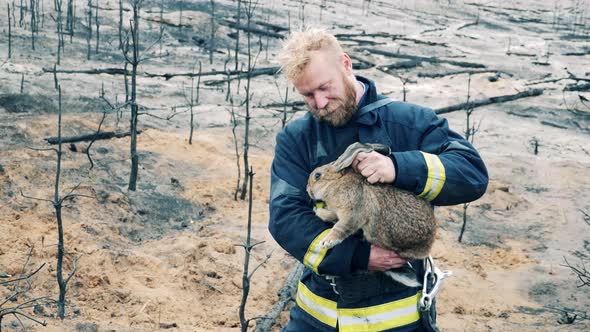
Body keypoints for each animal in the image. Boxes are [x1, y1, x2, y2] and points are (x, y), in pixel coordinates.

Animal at [308, 143, 438, 286]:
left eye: (317, 175)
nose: (307, 189)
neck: (336, 182)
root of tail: (428, 245)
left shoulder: (353, 213)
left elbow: (340, 228)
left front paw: (327, 241)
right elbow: (332, 215)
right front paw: (319, 211)